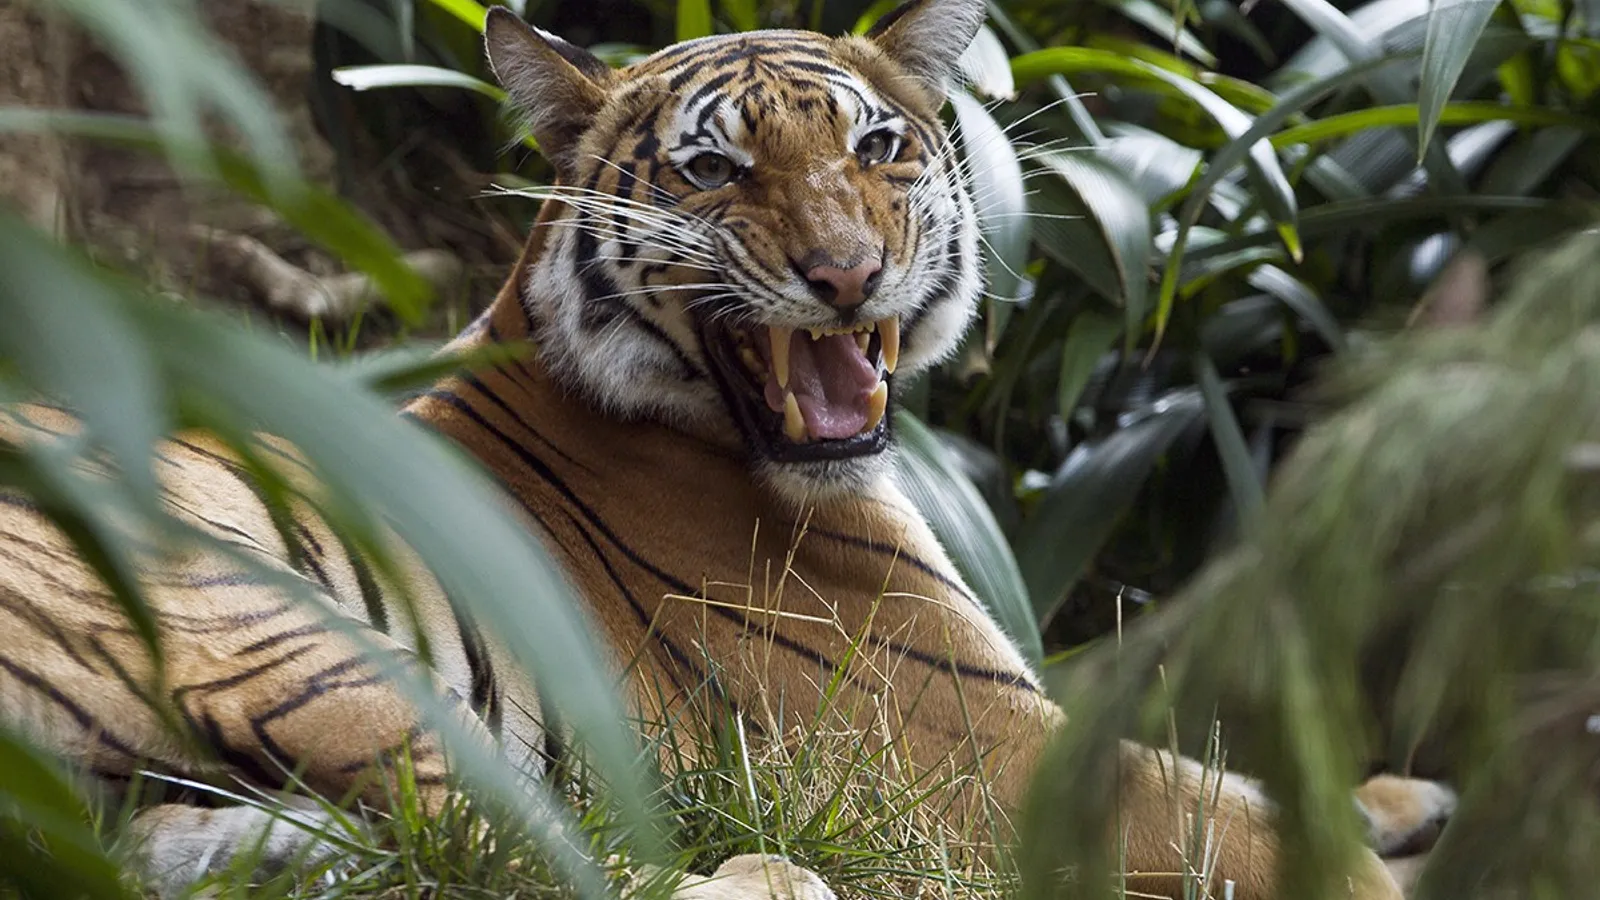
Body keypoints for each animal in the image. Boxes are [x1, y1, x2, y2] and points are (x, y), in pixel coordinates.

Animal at [0, 0, 1459, 890]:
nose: (846, 274)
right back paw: (778, 870)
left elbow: (1208, 737)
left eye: (879, 147)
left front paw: (1399, 795)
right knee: (520, 857)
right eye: (714, 172)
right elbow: (1237, 818)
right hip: (284, 632)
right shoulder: (977, 743)